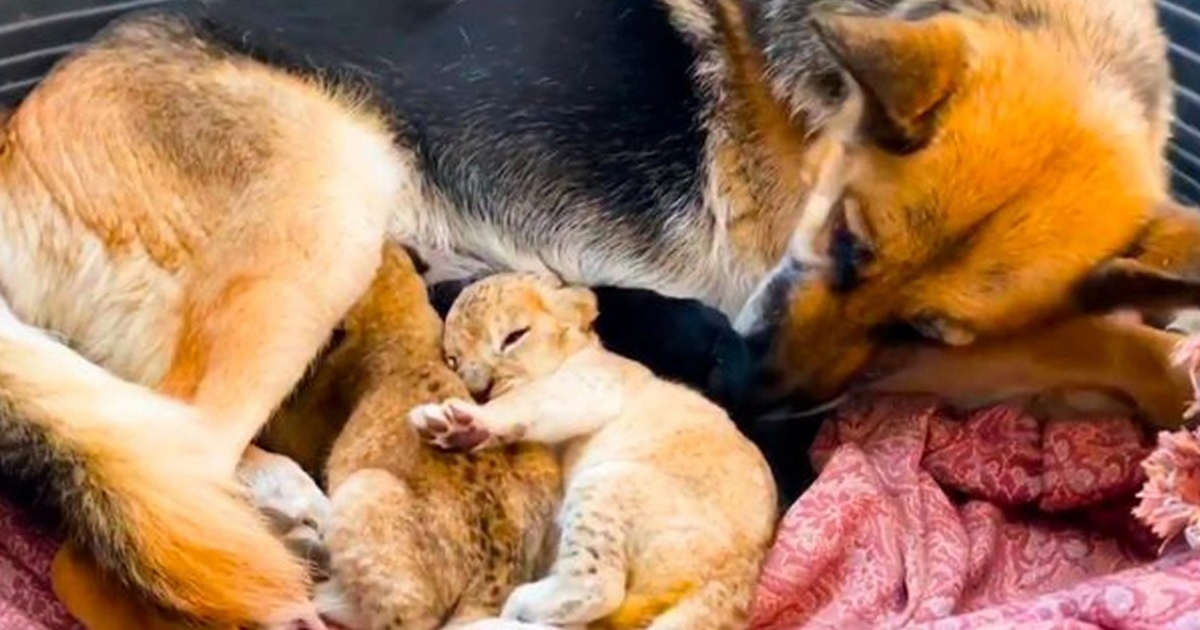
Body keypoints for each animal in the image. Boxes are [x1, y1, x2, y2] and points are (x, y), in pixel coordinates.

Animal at [0, 0, 1196, 626]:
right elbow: (1103, 334)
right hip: (326, 199)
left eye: (917, 321)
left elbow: (1094, 336)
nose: (746, 390)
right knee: (152, 483)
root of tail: (16, 144)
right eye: (845, 242)